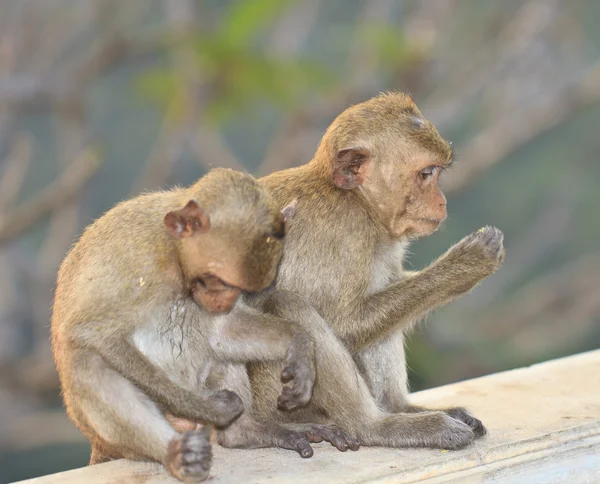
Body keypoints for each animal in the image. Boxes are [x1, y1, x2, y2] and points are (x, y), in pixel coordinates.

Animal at [50, 168, 356, 482]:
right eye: (216, 280)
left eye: (239, 287)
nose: (223, 301)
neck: (175, 254)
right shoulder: (140, 262)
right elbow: (94, 335)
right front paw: (211, 408)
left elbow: (224, 332)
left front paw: (301, 345)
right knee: (86, 362)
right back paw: (176, 454)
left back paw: (243, 432)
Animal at [243, 91, 502, 450]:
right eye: (427, 173)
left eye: (437, 173)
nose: (442, 202)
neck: (356, 201)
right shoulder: (342, 233)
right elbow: (344, 324)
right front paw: (467, 265)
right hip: (273, 396)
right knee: (287, 304)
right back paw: (377, 426)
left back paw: (400, 408)